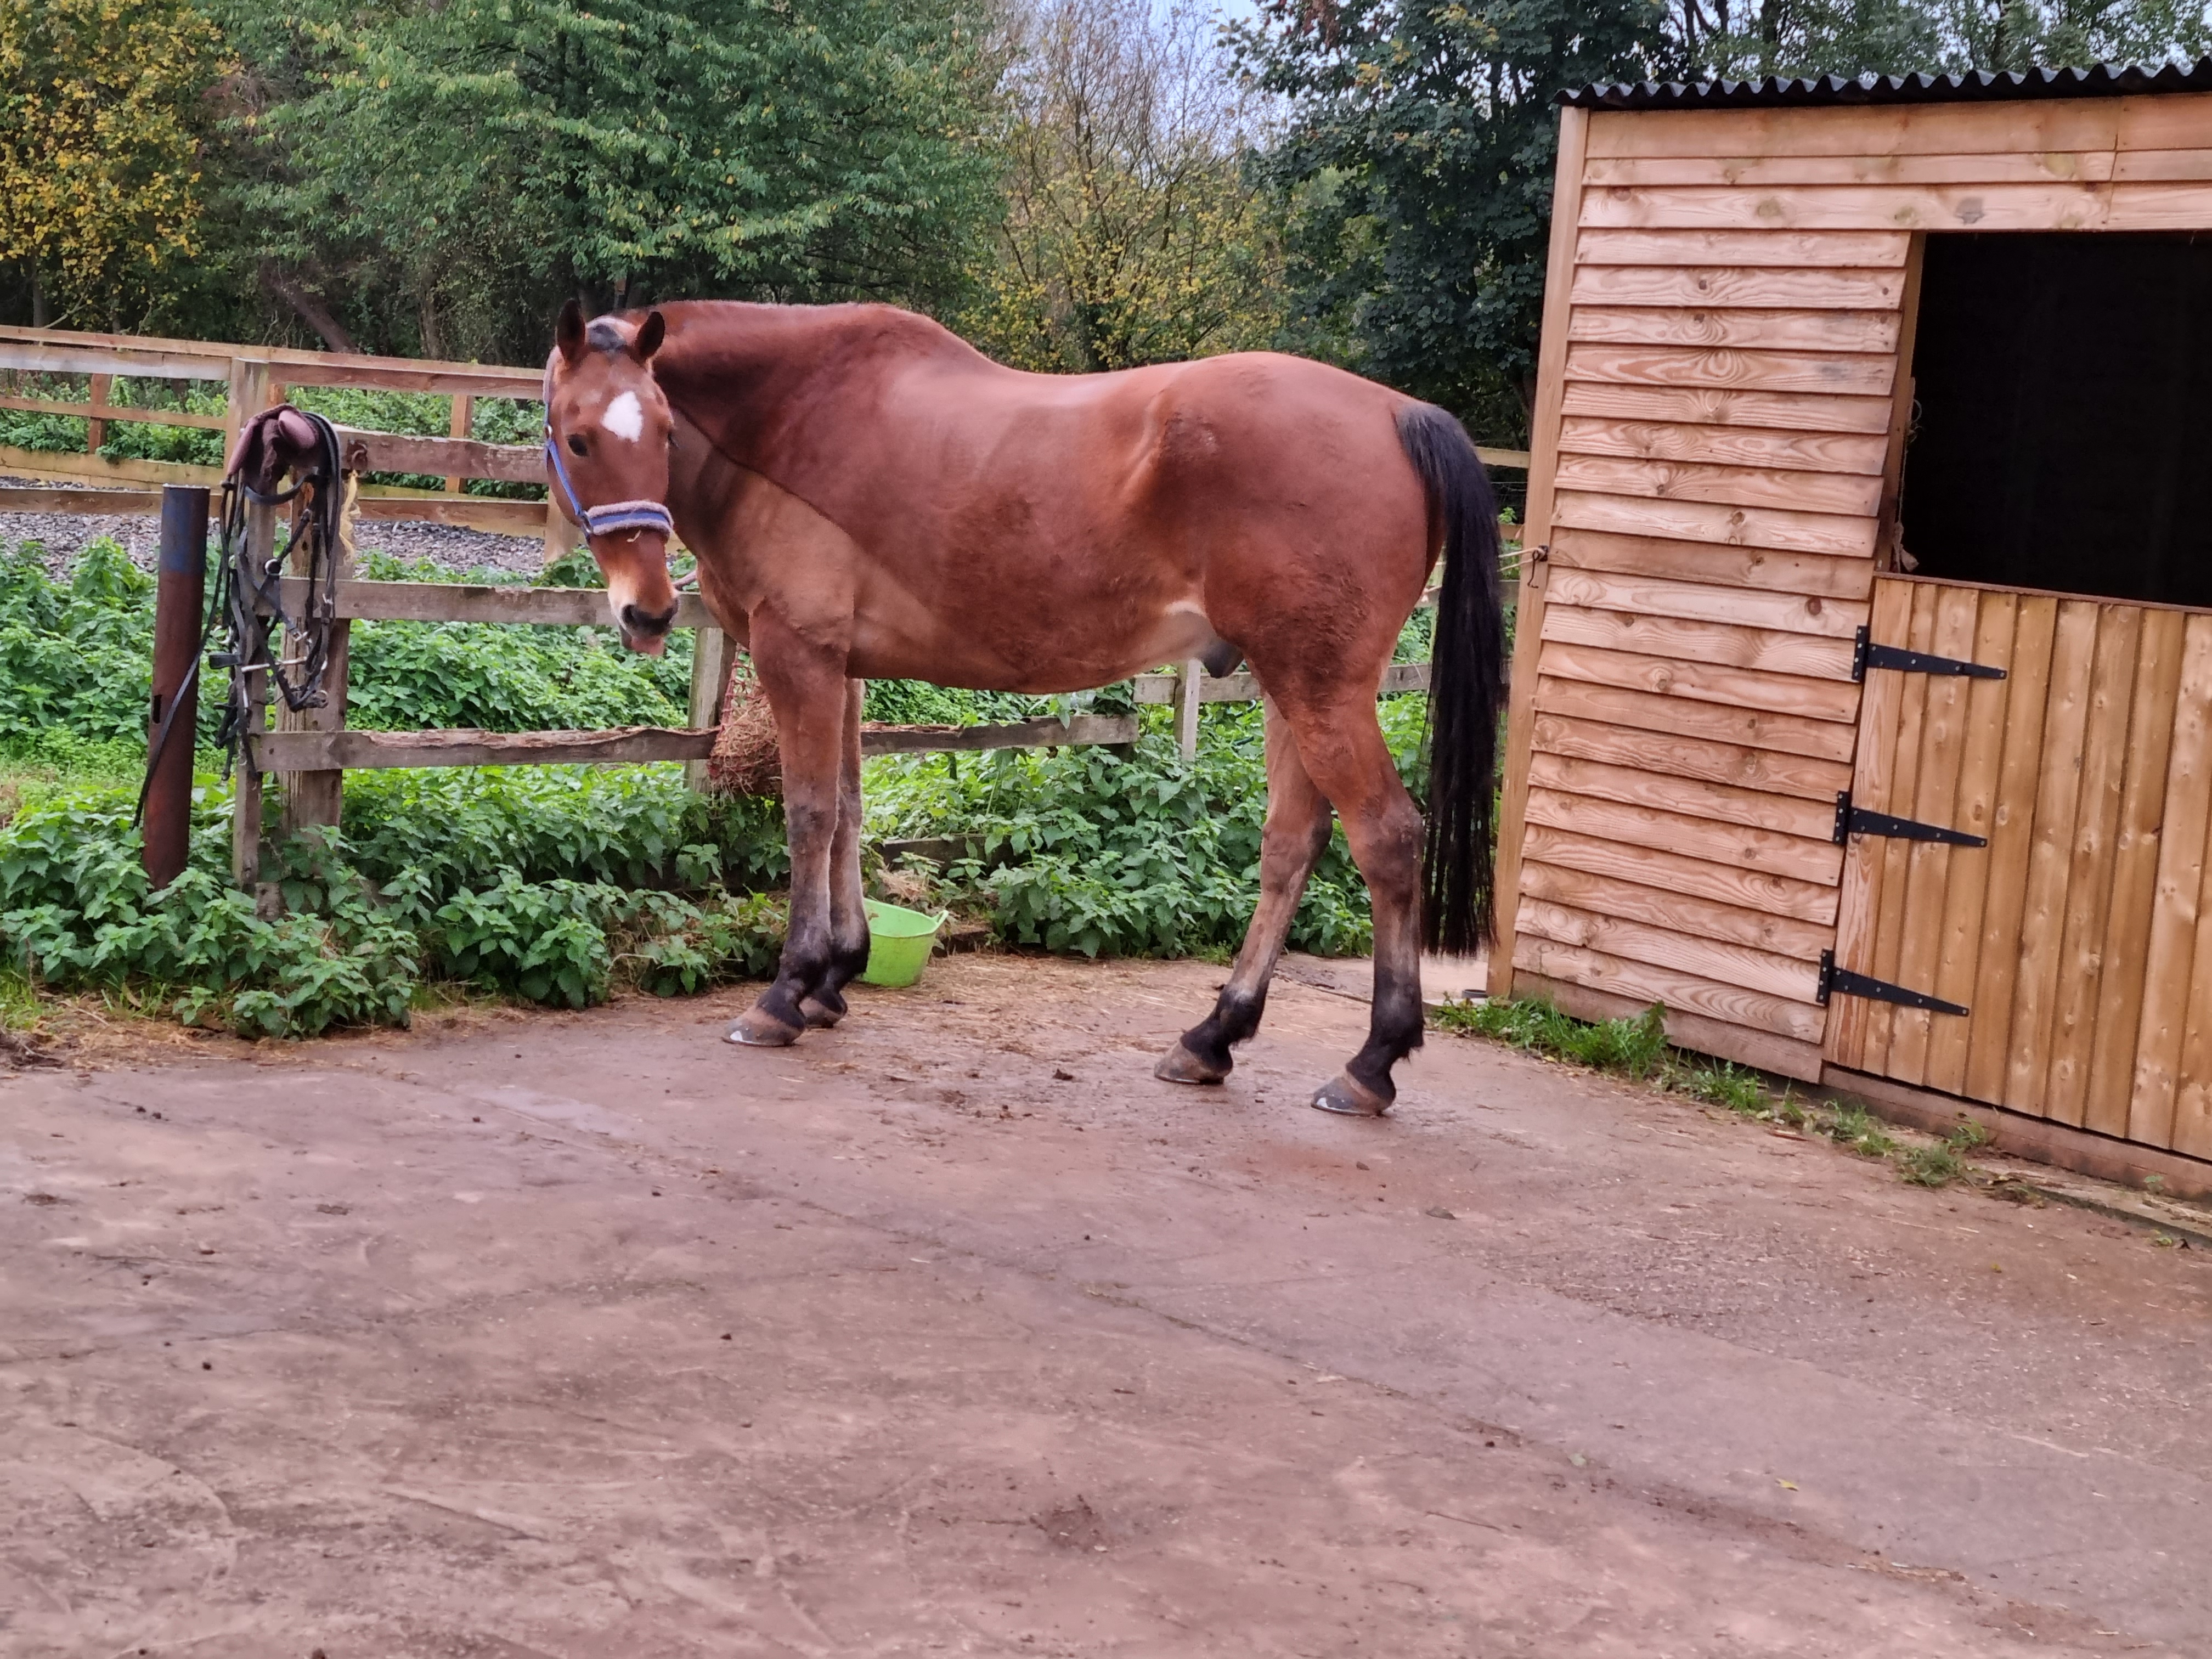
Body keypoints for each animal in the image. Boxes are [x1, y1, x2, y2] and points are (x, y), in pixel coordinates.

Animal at [541, 305, 1504, 1124]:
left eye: (664, 433)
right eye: (580, 437)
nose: (648, 613)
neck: (787, 415)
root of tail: (1401, 414)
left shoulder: (798, 655)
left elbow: (809, 815)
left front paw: (788, 992)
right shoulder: (844, 668)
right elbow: (851, 809)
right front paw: (837, 977)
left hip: (1322, 694)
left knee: (1386, 837)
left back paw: (1372, 1063)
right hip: (1293, 693)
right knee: (1290, 847)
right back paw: (1213, 1037)